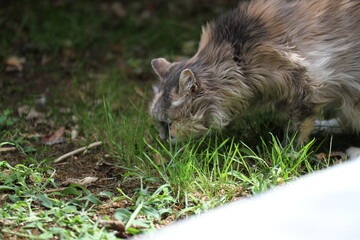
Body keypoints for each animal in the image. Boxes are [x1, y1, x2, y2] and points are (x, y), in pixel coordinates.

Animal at [148, 0, 360, 143]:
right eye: (159, 123)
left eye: (168, 124)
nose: (162, 140)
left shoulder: (307, 85)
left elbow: (297, 128)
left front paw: (288, 154)